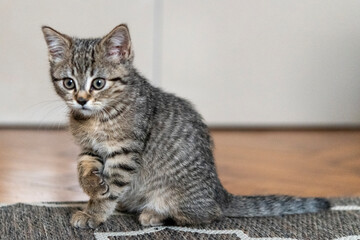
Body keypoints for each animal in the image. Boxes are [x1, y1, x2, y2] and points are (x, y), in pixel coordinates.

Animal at [41, 24, 330, 229]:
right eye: (69, 83)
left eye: (98, 83)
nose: (81, 100)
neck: (95, 117)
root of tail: (219, 192)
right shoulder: (90, 148)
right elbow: (83, 169)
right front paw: (93, 188)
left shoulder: (125, 152)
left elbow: (113, 184)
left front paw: (95, 213)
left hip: (179, 196)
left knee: (209, 215)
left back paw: (154, 215)